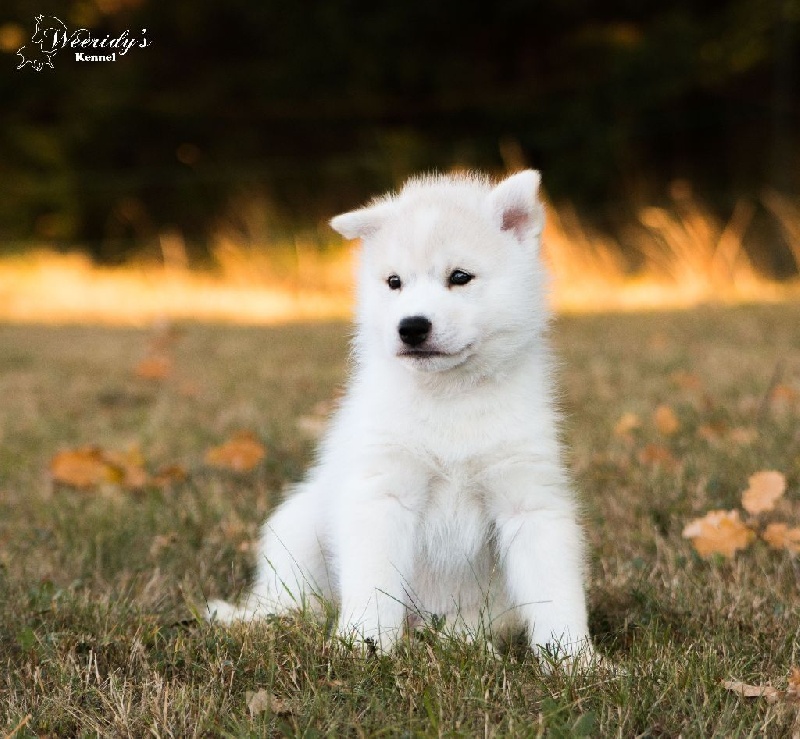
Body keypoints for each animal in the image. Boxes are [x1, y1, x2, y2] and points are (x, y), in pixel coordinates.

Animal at [207, 170, 593, 665]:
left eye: (460, 277)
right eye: (394, 282)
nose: (411, 327)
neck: (449, 398)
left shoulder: (529, 500)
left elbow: (555, 595)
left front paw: (577, 663)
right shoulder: (383, 494)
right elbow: (374, 586)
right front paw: (365, 646)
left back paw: (467, 643)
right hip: (299, 530)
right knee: (291, 602)